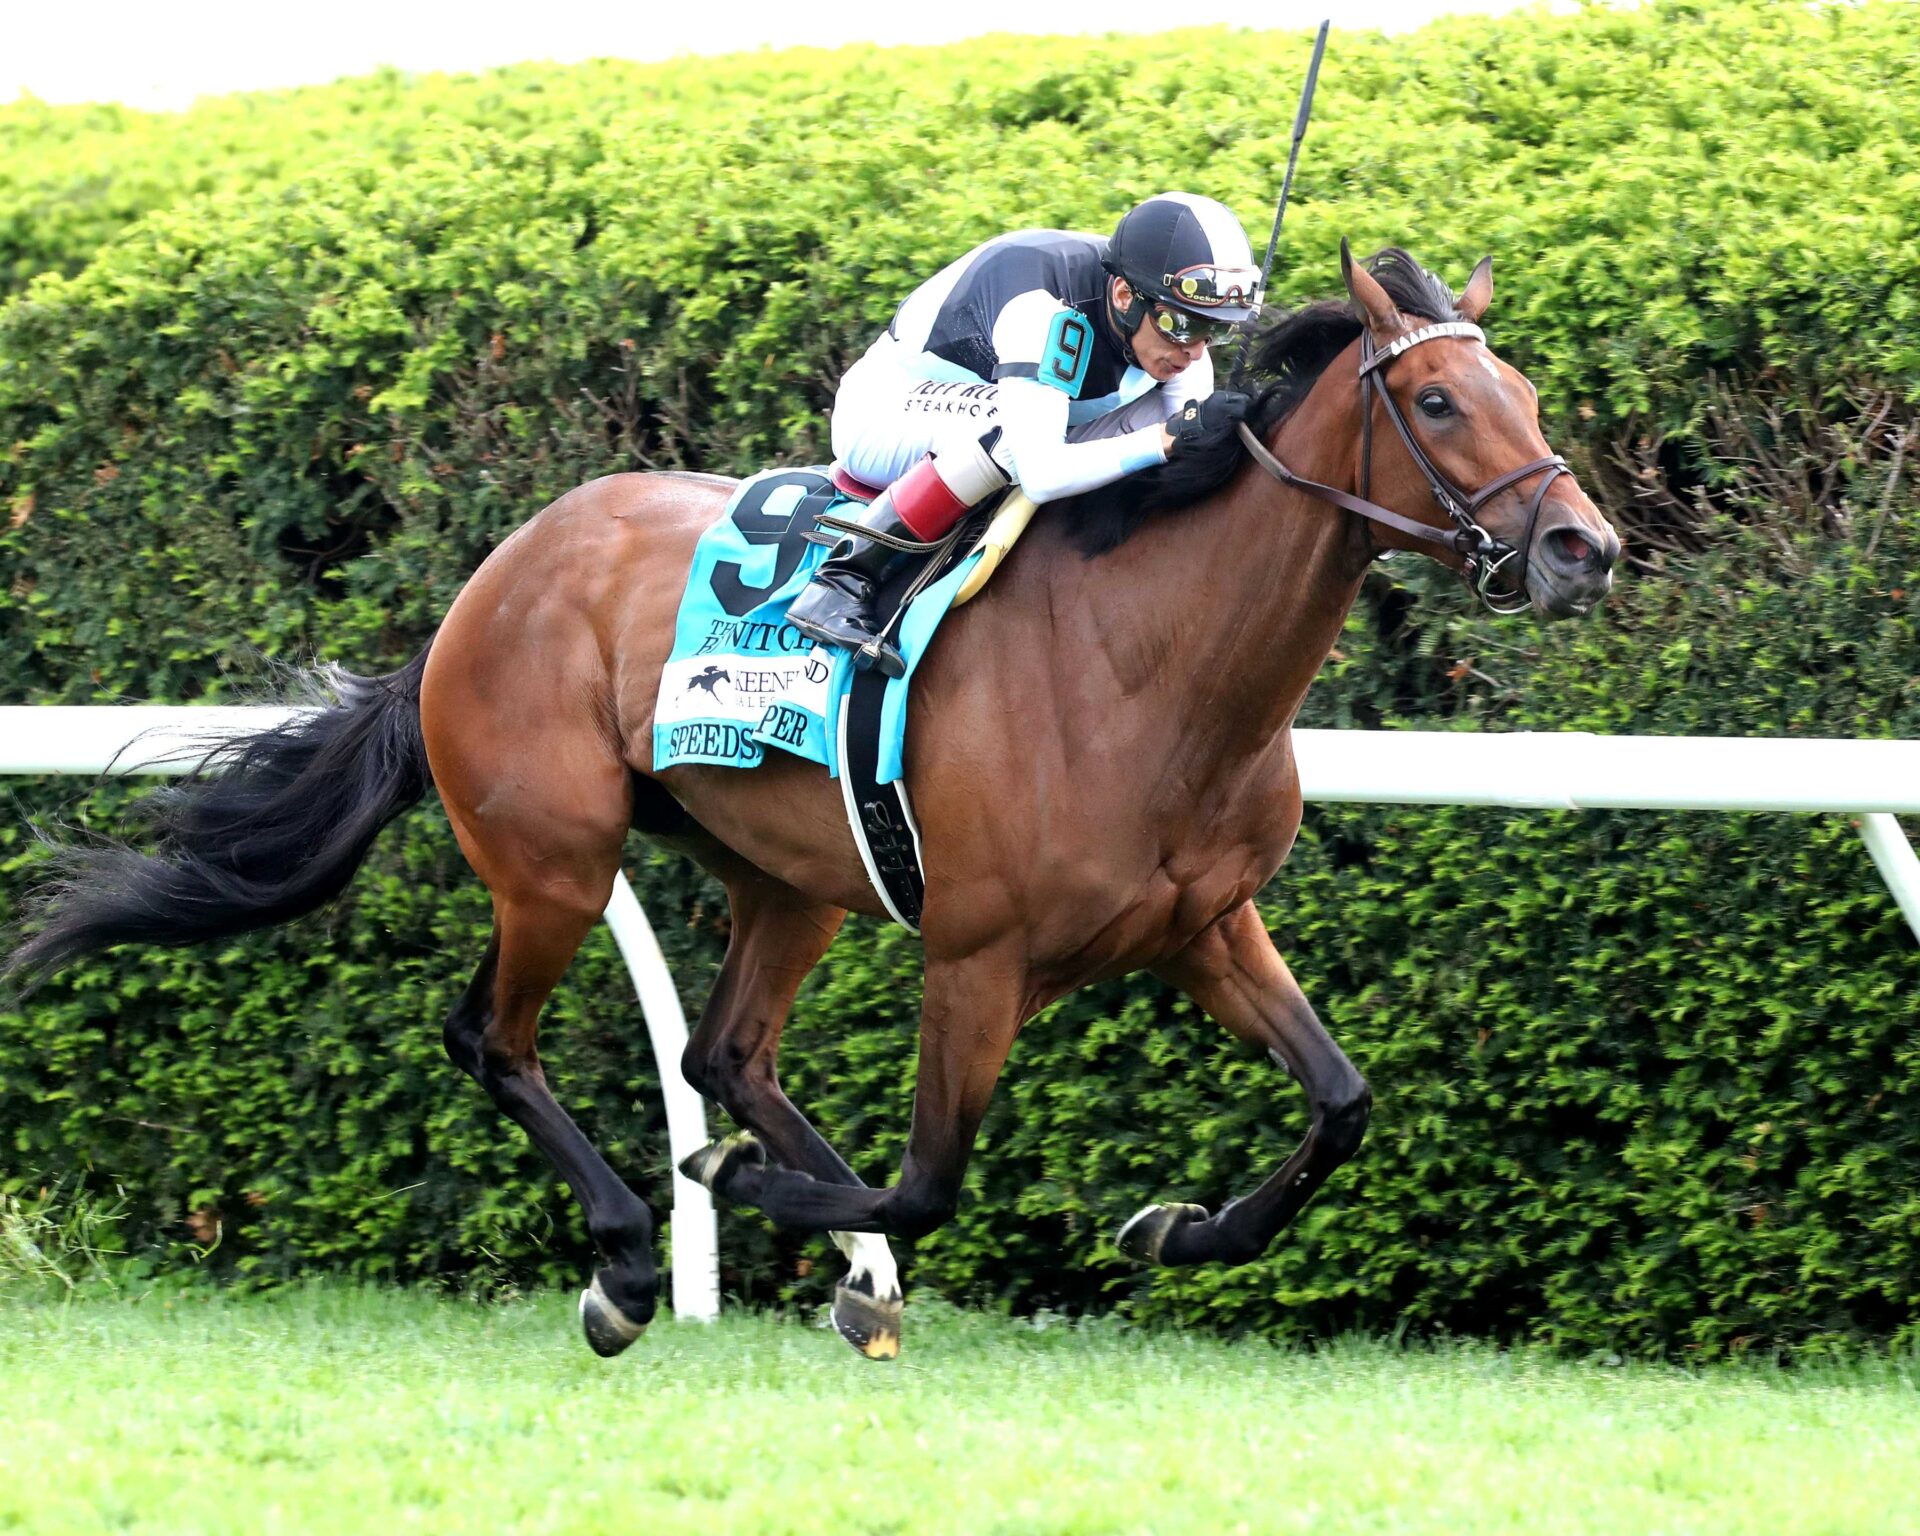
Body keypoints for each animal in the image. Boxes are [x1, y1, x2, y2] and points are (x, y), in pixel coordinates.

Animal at [7, 242, 1619, 1360]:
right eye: (1436, 399)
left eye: (1528, 393)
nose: (1583, 548)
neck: (1150, 665)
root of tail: (485, 584)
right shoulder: (978, 955)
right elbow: (930, 1178)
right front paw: (769, 1215)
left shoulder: (1204, 923)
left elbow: (1342, 1103)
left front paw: (1179, 1226)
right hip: (553, 859)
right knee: (496, 1038)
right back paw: (630, 1260)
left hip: (788, 877)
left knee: (723, 1052)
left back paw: (812, 1254)